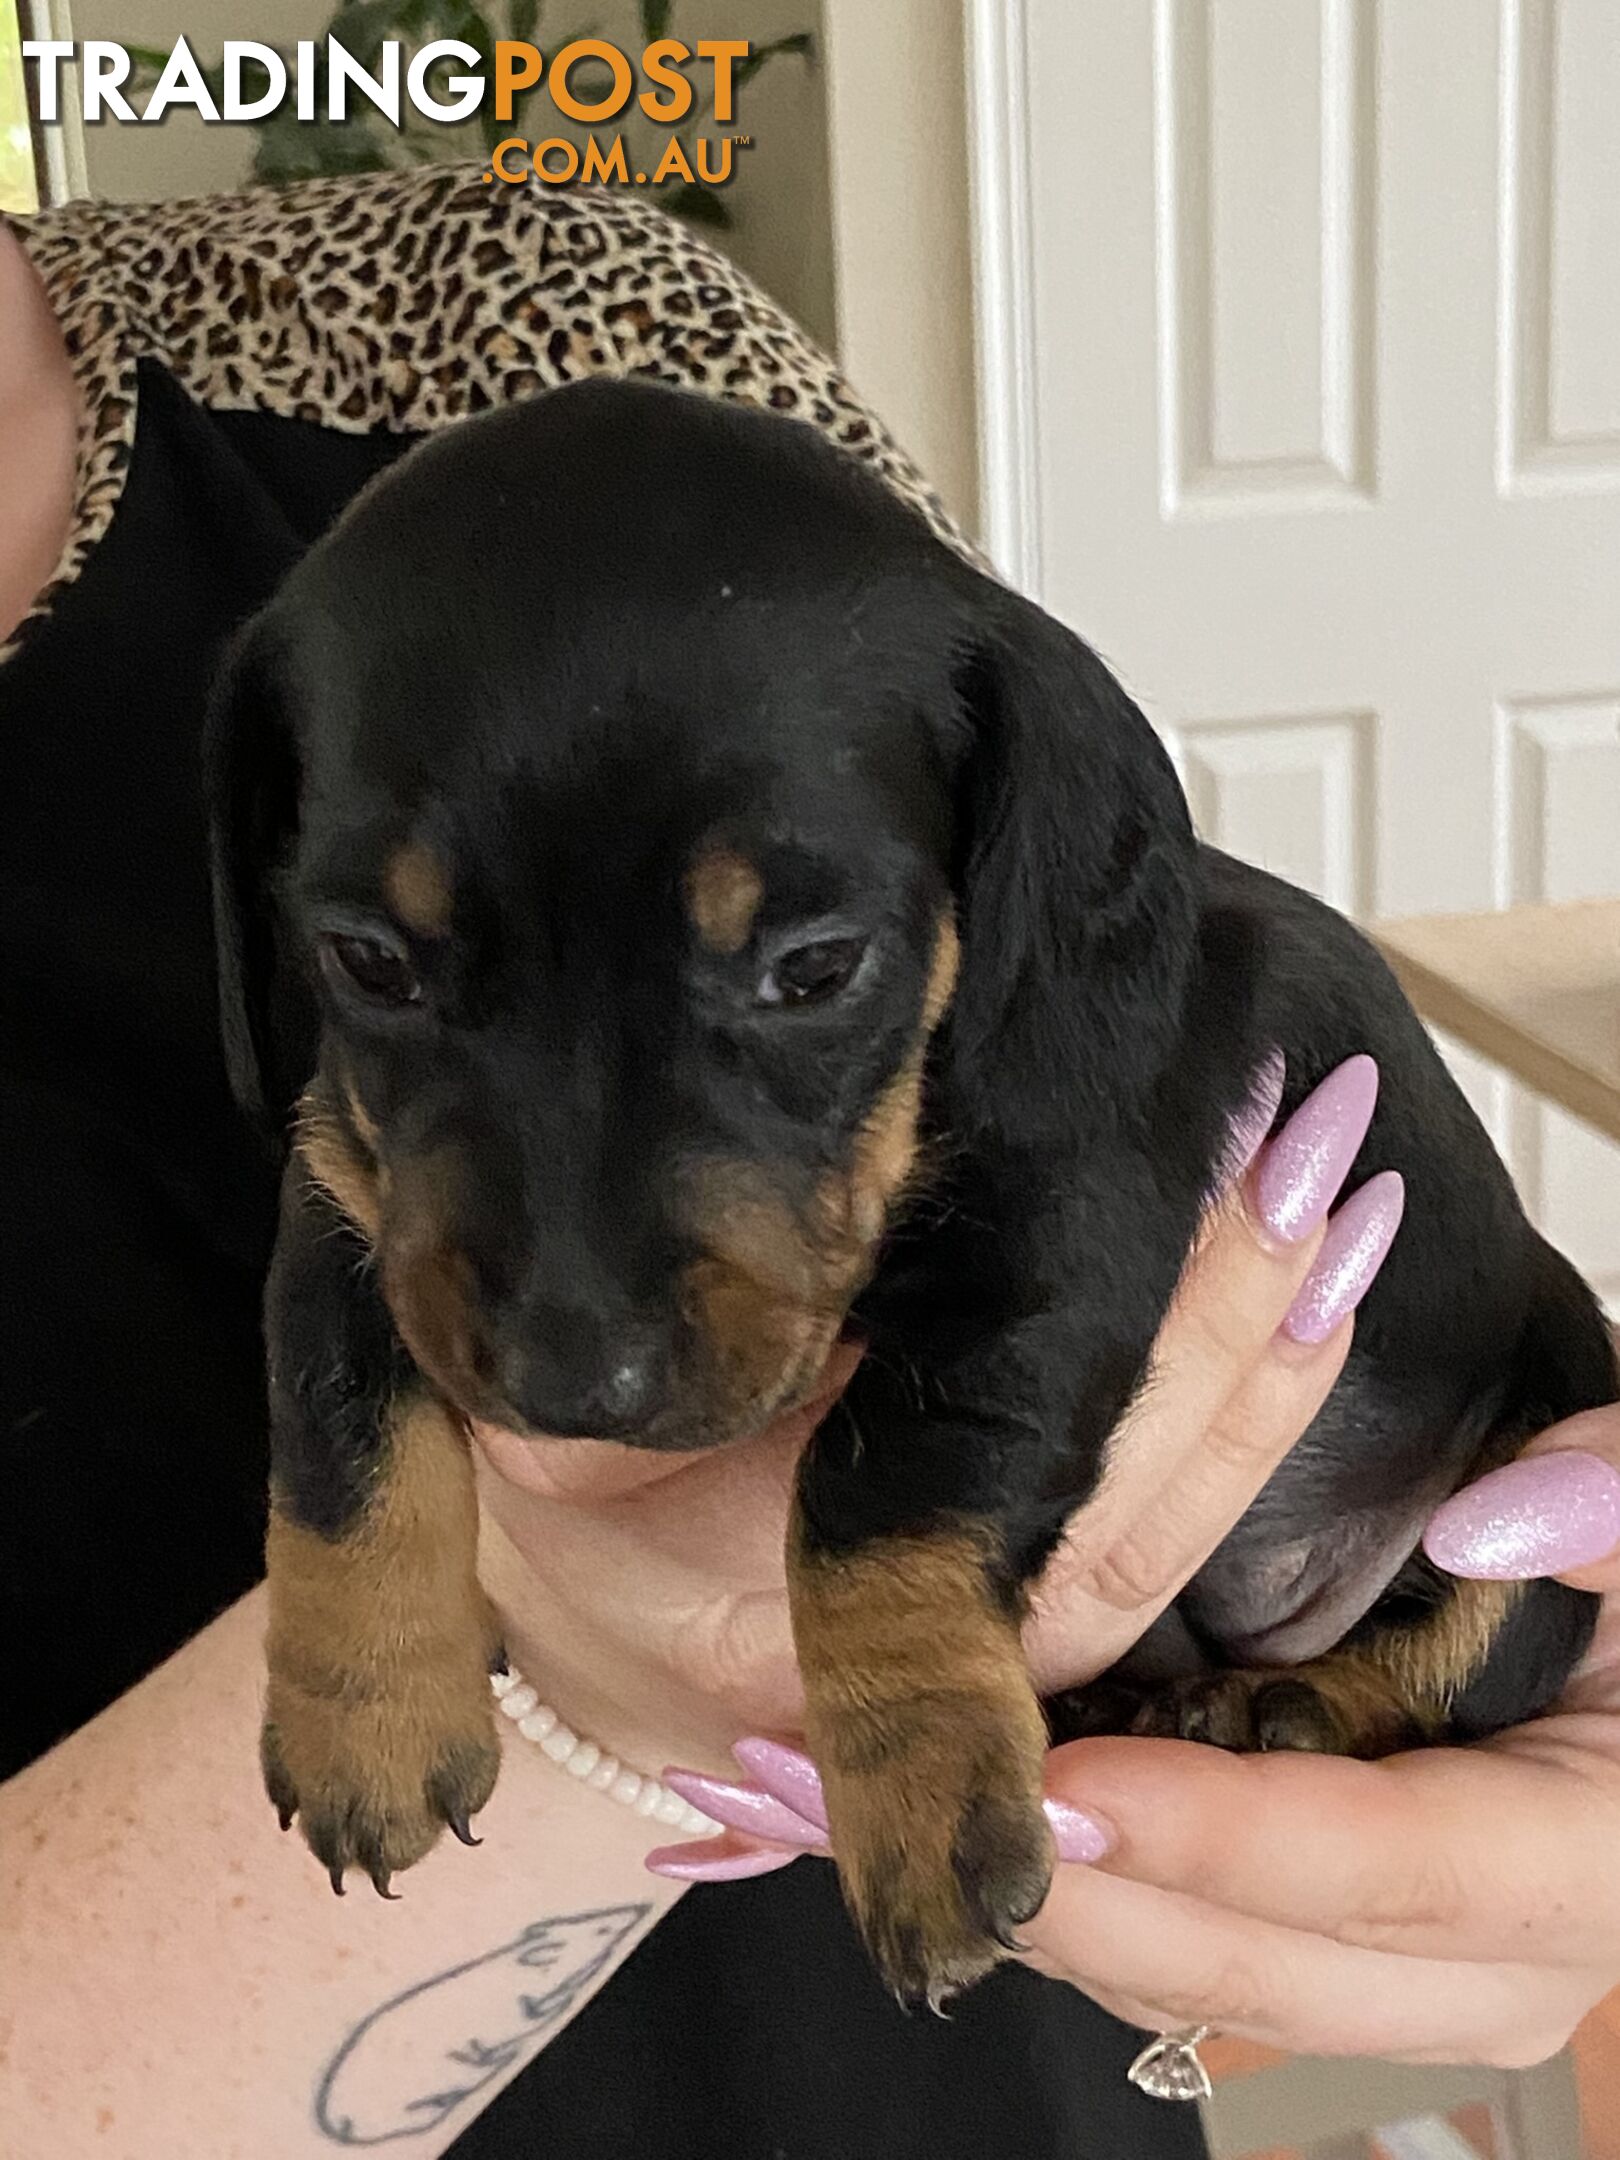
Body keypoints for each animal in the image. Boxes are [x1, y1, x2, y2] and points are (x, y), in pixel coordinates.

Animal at [209, 375, 1615, 2004]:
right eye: (366, 960)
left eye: (815, 966)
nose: (571, 1381)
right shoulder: (353, 1200)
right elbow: (336, 1420)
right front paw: (364, 1713)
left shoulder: (1060, 1247)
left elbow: (879, 1484)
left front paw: (920, 1779)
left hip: (1538, 1460)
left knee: (1460, 1652)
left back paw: (1296, 1706)